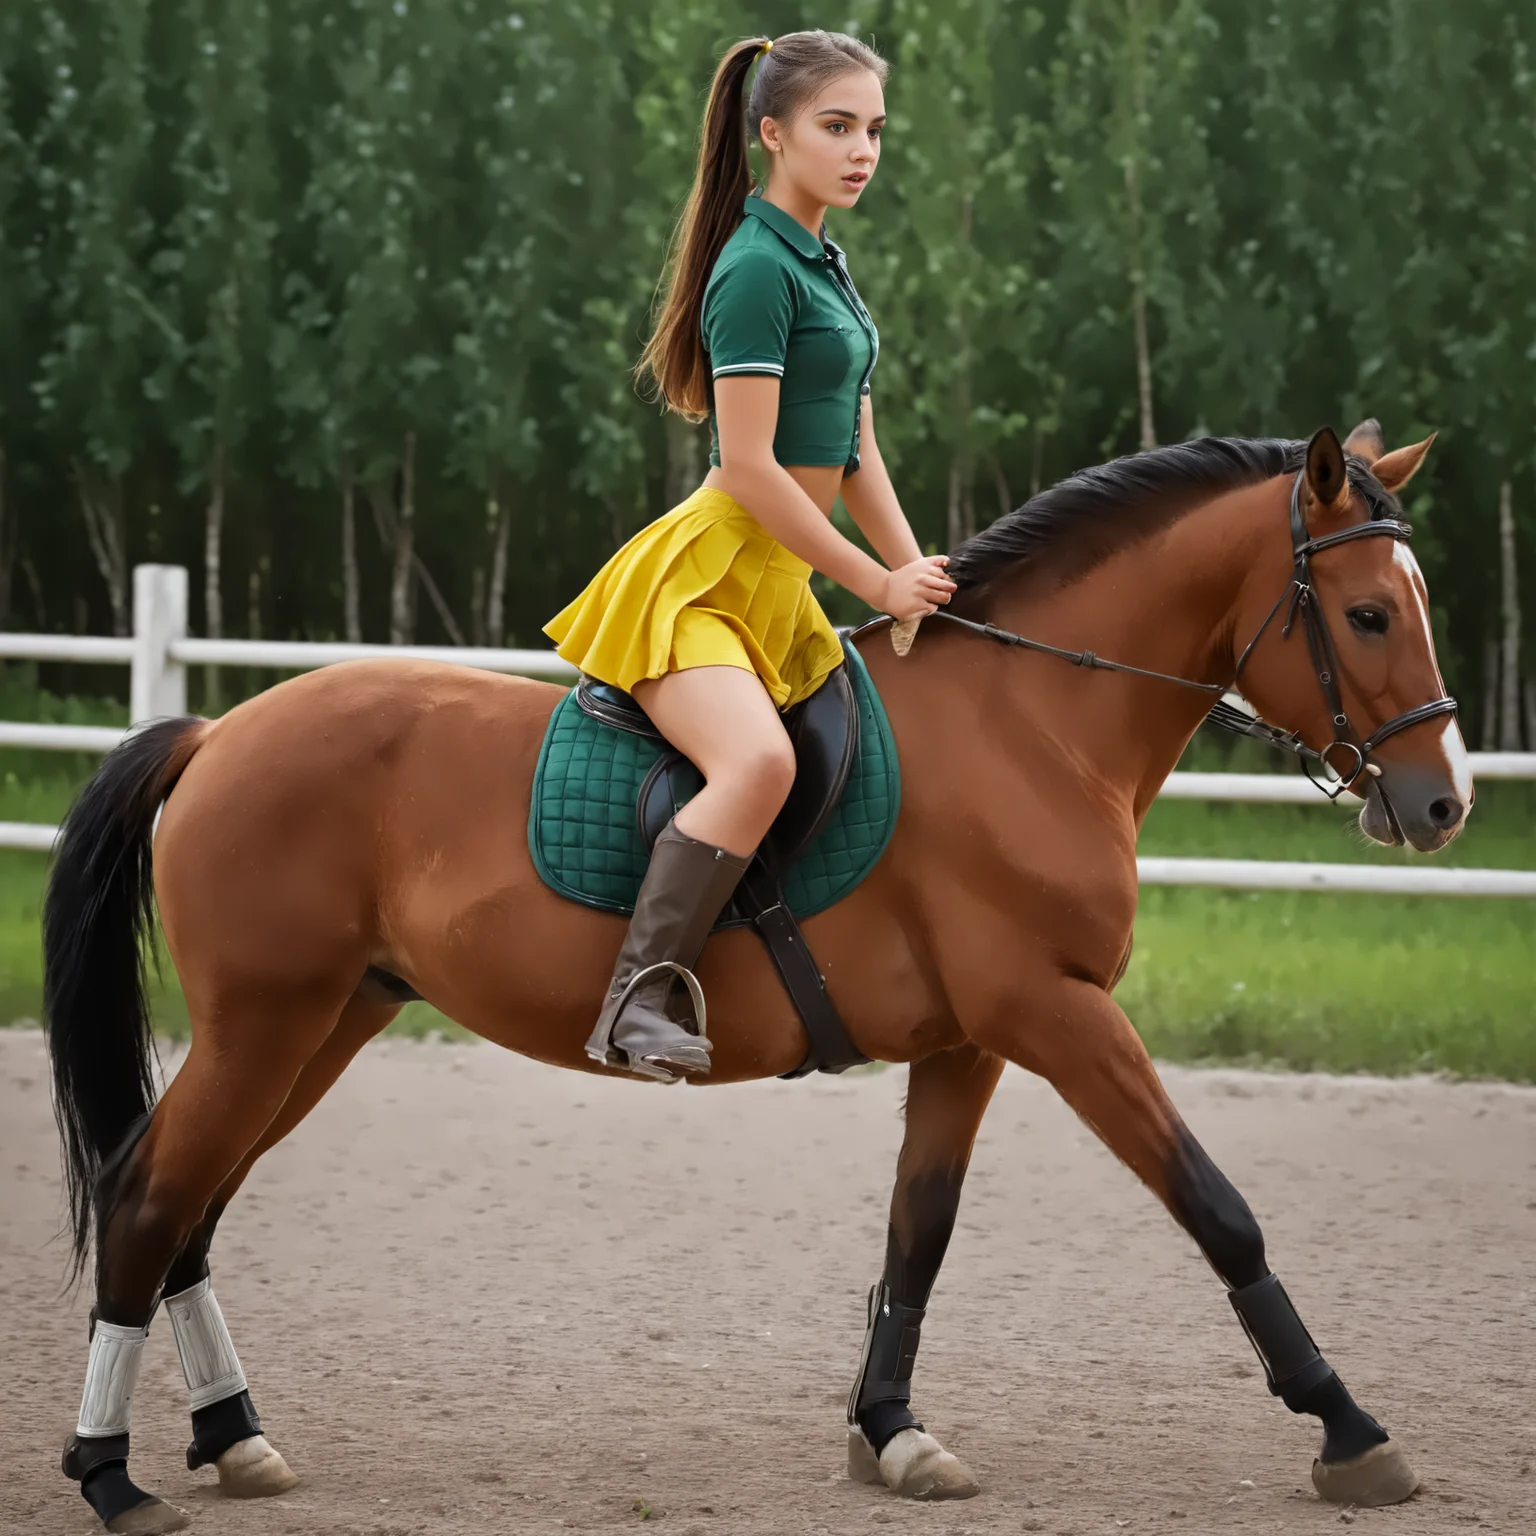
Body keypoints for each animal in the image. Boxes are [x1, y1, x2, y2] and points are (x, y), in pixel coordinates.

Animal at [43, 423, 1466, 1533]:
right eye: (1368, 614)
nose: (1443, 803)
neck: (1027, 725)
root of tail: (218, 731)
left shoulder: (969, 1042)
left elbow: (918, 1234)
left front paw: (893, 1433)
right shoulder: (1056, 1012)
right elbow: (1218, 1207)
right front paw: (1350, 1430)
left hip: (325, 1023)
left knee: (190, 1211)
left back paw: (234, 1441)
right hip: (265, 1025)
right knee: (148, 1196)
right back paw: (113, 1476)